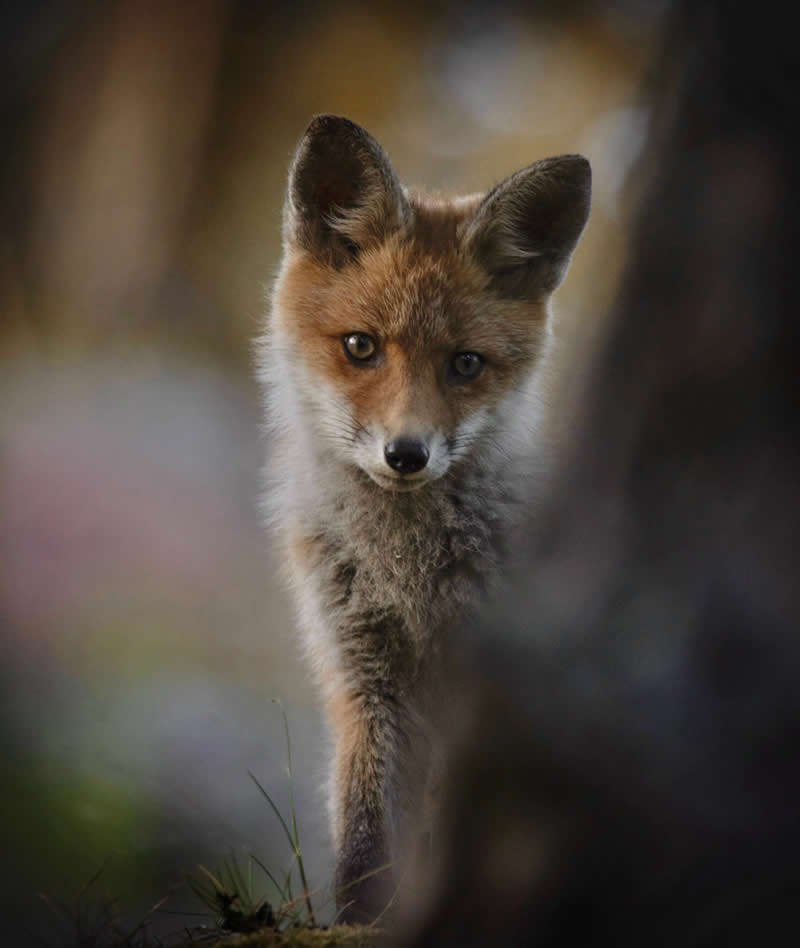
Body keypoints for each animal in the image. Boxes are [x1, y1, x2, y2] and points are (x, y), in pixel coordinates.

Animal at [258, 114, 591, 923]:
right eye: (360, 346)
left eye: (465, 364)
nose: (405, 454)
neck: (406, 570)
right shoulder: (362, 674)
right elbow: (366, 833)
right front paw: (362, 920)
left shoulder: (485, 683)